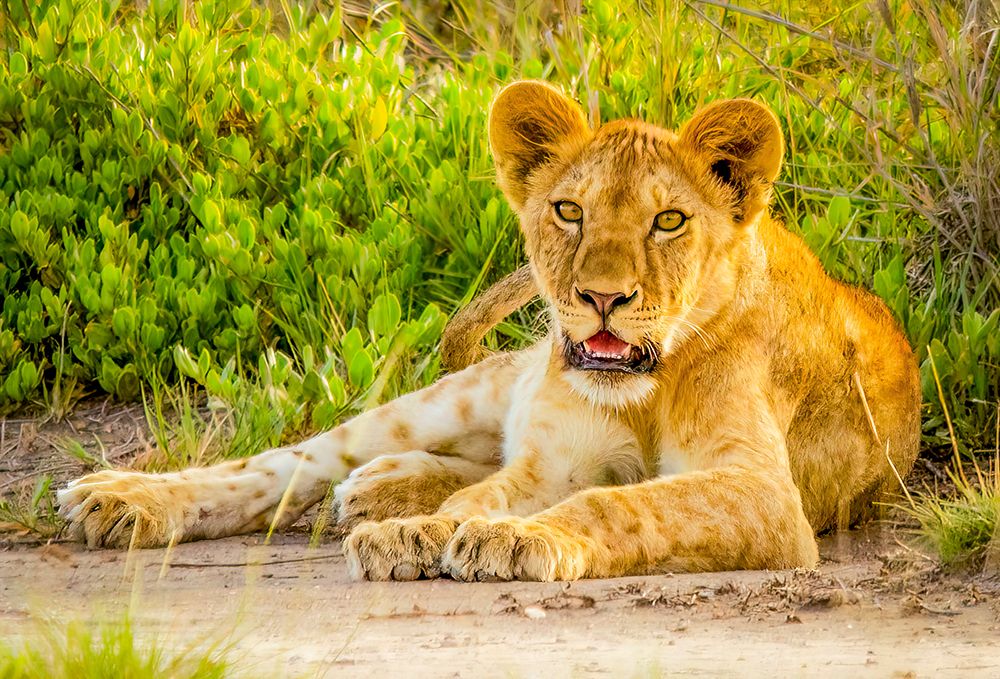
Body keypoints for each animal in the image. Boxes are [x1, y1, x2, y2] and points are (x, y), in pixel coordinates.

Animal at [58, 81, 921, 581]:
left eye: (669, 221)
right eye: (568, 210)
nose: (600, 297)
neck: (645, 388)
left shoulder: (766, 494)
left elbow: (617, 504)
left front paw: (510, 540)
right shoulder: (551, 460)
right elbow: (488, 493)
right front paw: (422, 533)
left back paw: (380, 488)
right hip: (453, 396)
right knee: (285, 464)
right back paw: (123, 499)